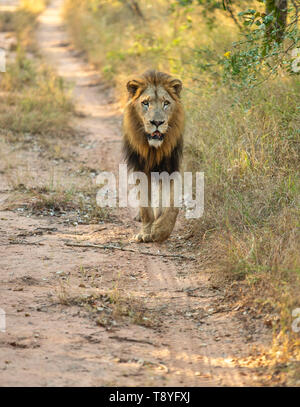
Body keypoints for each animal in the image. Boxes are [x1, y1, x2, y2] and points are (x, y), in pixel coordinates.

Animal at [122, 69, 184, 242]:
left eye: (166, 103)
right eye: (145, 103)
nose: (157, 122)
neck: (154, 149)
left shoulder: (172, 168)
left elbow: (173, 205)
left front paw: (160, 230)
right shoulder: (140, 169)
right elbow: (145, 207)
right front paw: (145, 233)